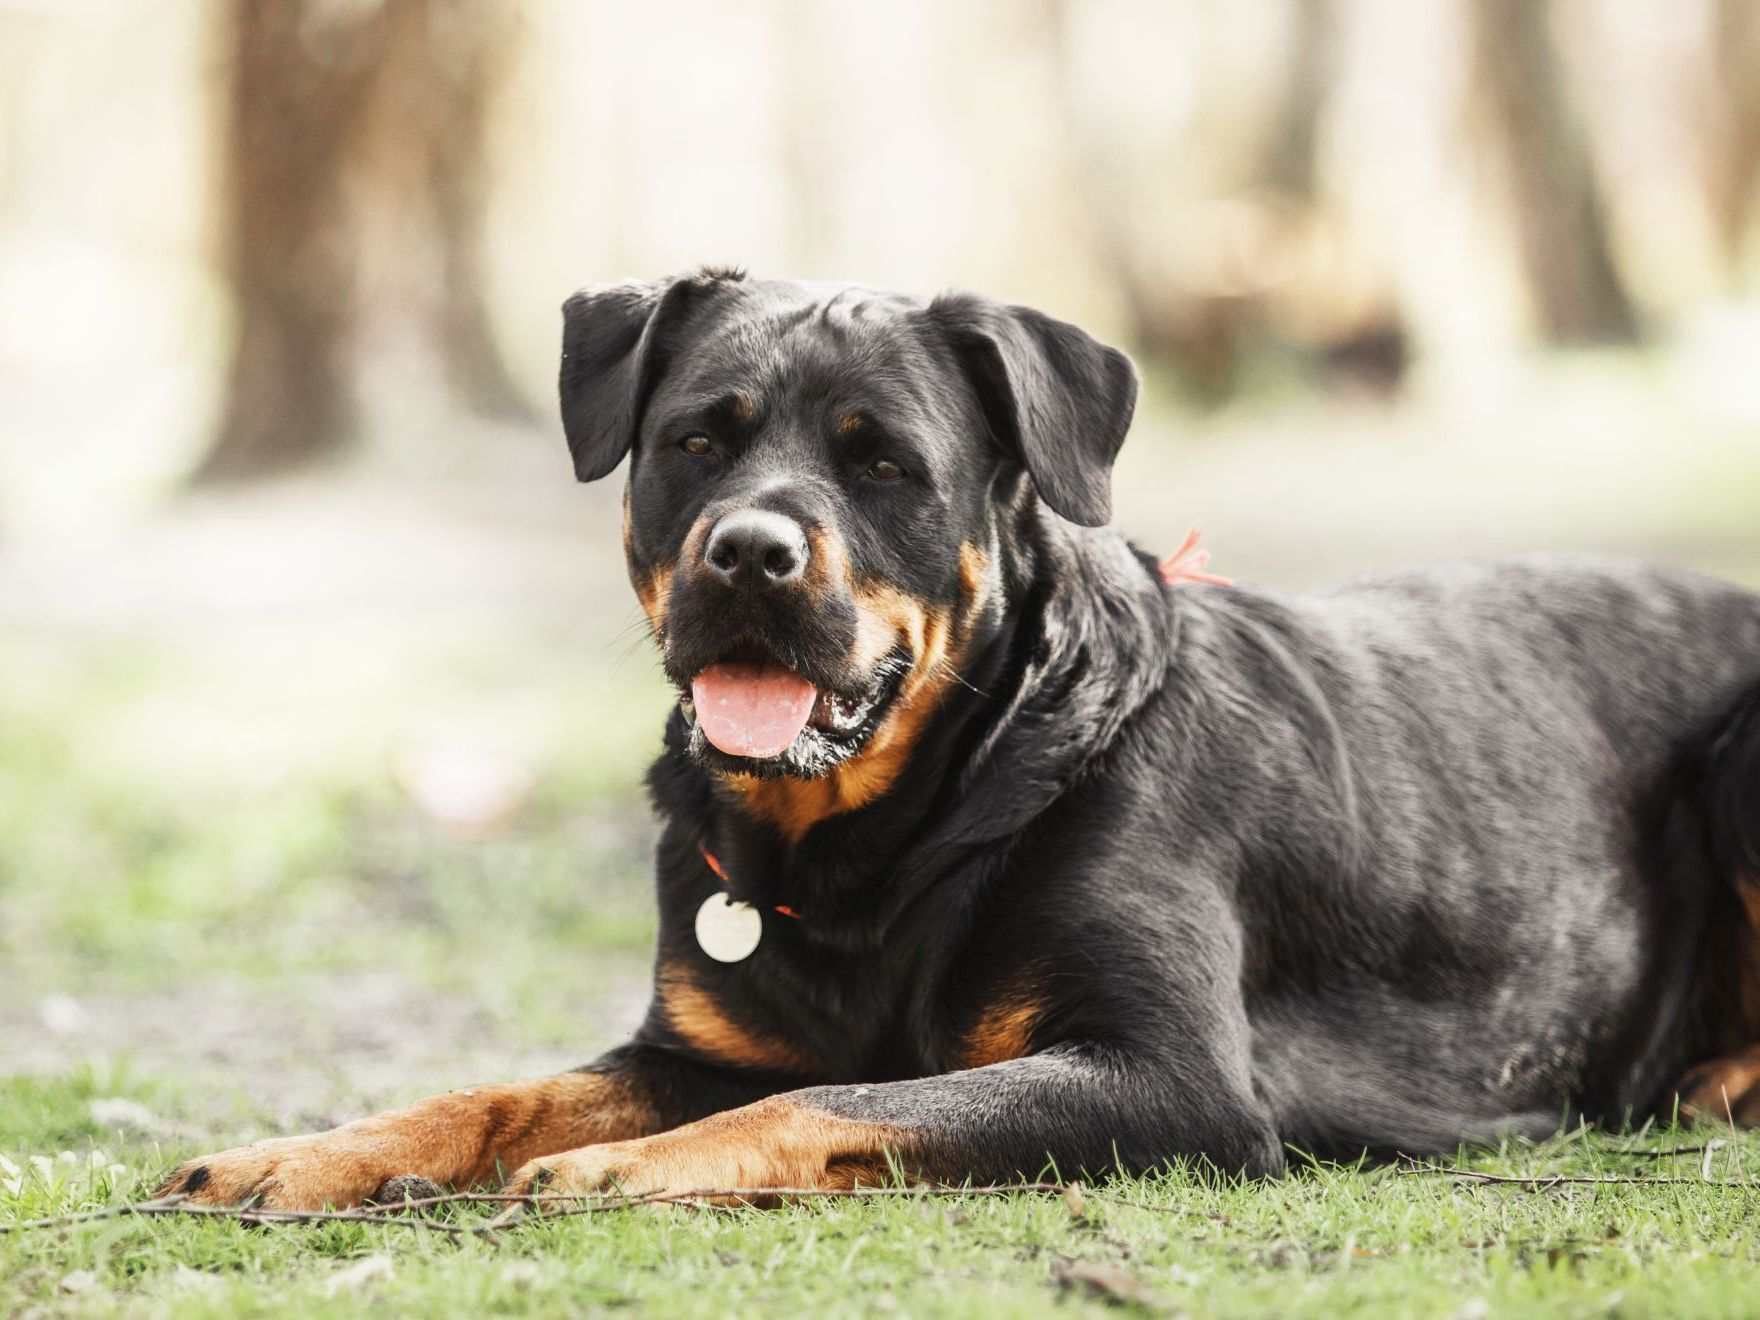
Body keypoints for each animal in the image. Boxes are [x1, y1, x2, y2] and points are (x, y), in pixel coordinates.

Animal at [161, 265, 1760, 1210]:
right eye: (696, 440)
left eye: (885, 464)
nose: (750, 554)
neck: (885, 837)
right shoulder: (693, 1040)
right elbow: (502, 1089)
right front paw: (305, 1151)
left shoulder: (1170, 1081)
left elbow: (846, 1092)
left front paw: (626, 1166)